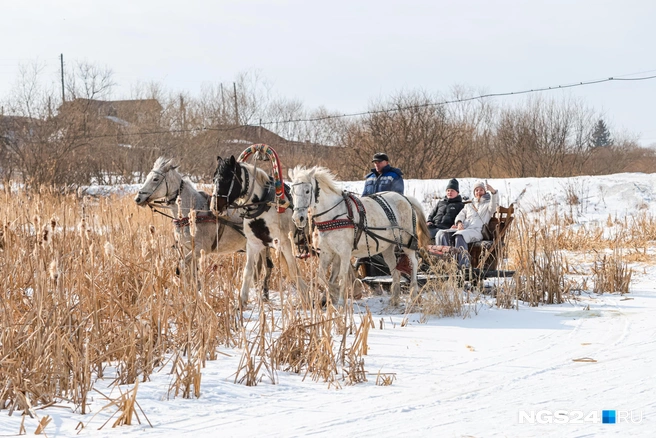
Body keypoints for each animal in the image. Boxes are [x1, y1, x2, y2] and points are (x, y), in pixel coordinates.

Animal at [135, 157, 272, 298]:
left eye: (155, 179)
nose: (138, 198)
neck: (193, 213)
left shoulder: (201, 249)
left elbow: (182, 266)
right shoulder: (187, 248)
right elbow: (190, 271)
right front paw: (192, 292)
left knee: (266, 268)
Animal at [213, 156, 310, 306]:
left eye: (227, 178)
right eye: (214, 178)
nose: (215, 206)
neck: (263, 206)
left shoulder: (285, 243)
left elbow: (294, 269)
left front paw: (306, 297)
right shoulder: (254, 244)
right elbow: (248, 271)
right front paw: (242, 301)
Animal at [288, 166, 430, 306]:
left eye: (307, 191)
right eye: (292, 192)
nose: (298, 218)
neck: (334, 215)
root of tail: (405, 198)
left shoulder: (345, 252)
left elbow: (342, 276)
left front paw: (340, 300)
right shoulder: (328, 252)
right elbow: (322, 276)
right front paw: (332, 294)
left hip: (407, 242)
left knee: (413, 264)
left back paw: (414, 295)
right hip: (388, 247)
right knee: (395, 270)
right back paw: (394, 299)